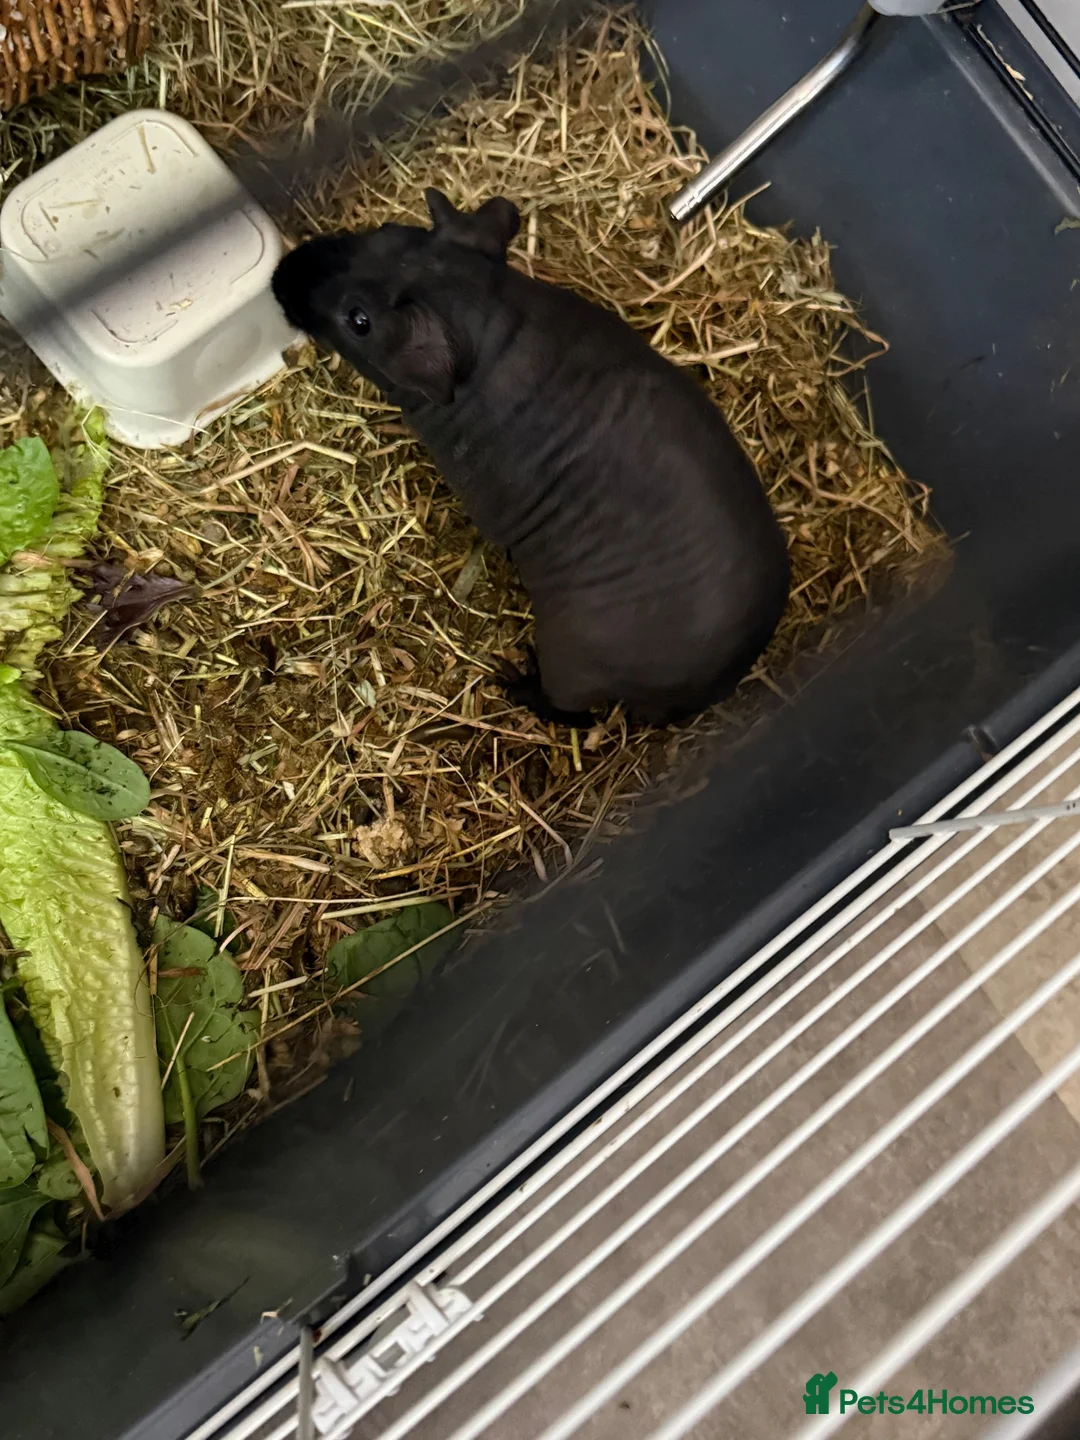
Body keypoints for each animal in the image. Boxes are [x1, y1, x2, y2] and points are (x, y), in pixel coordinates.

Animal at [271, 189, 790, 726]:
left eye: (360, 321)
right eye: (386, 230)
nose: (282, 274)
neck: (493, 324)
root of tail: (710, 688)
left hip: (570, 660)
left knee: (574, 713)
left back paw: (516, 678)